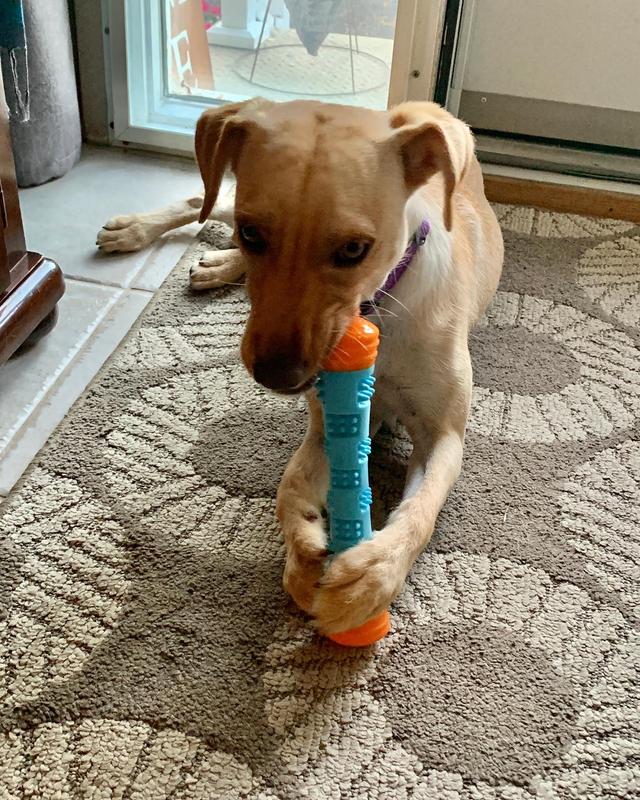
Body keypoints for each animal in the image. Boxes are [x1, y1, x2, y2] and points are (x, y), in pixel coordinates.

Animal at [97, 100, 504, 634]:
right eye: (253, 233)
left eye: (354, 249)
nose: (276, 375)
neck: (378, 308)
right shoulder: (331, 418)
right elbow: (289, 486)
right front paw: (302, 557)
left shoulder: (444, 433)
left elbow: (421, 509)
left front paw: (369, 576)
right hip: (225, 195)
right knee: (205, 198)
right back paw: (136, 232)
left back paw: (213, 263)